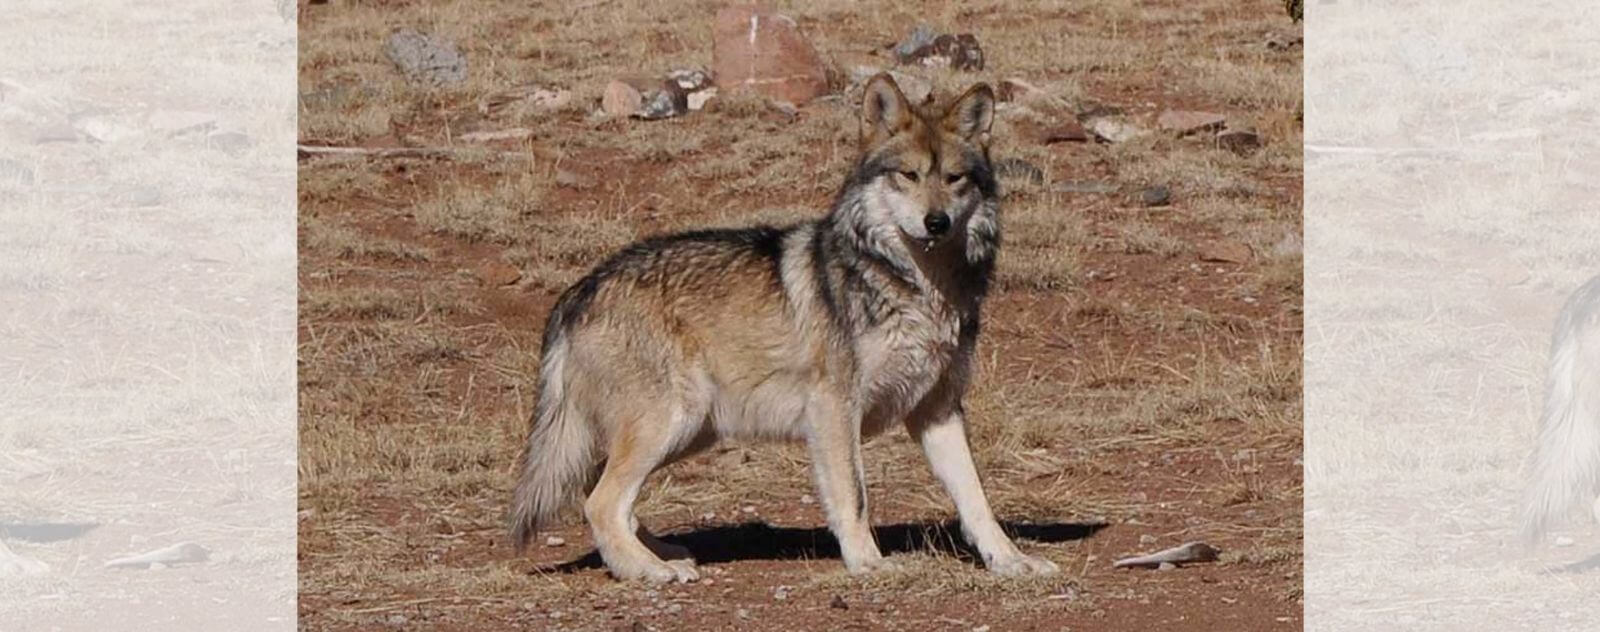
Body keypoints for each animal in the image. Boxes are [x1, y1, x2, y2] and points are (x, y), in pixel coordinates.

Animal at [512, 74, 1062, 585]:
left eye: (955, 178)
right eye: (908, 175)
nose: (937, 222)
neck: (916, 287)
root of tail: (579, 291)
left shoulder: (938, 411)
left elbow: (977, 500)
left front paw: (1011, 561)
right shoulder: (835, 409)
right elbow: (854, 496)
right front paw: (868, 563)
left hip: (687, 431)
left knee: (599, 495)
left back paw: (660, 554)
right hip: (670, 422)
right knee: (601, 503)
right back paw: (651, 571)